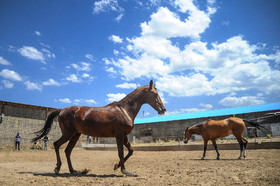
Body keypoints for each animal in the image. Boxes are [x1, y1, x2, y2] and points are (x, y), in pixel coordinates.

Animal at [32, 80, 166, 176]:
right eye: (155, 94)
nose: (163, 109)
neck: (125, 110)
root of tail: (61, 110)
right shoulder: (119, 135)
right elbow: (121, 152)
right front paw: (124, 171)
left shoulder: (124, 136)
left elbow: (130, 151)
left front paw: (117, 166)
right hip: (68, 133)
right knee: (57, 145)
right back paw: (57, 168)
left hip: (75, 135)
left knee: (67, 151)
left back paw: (73, 171)